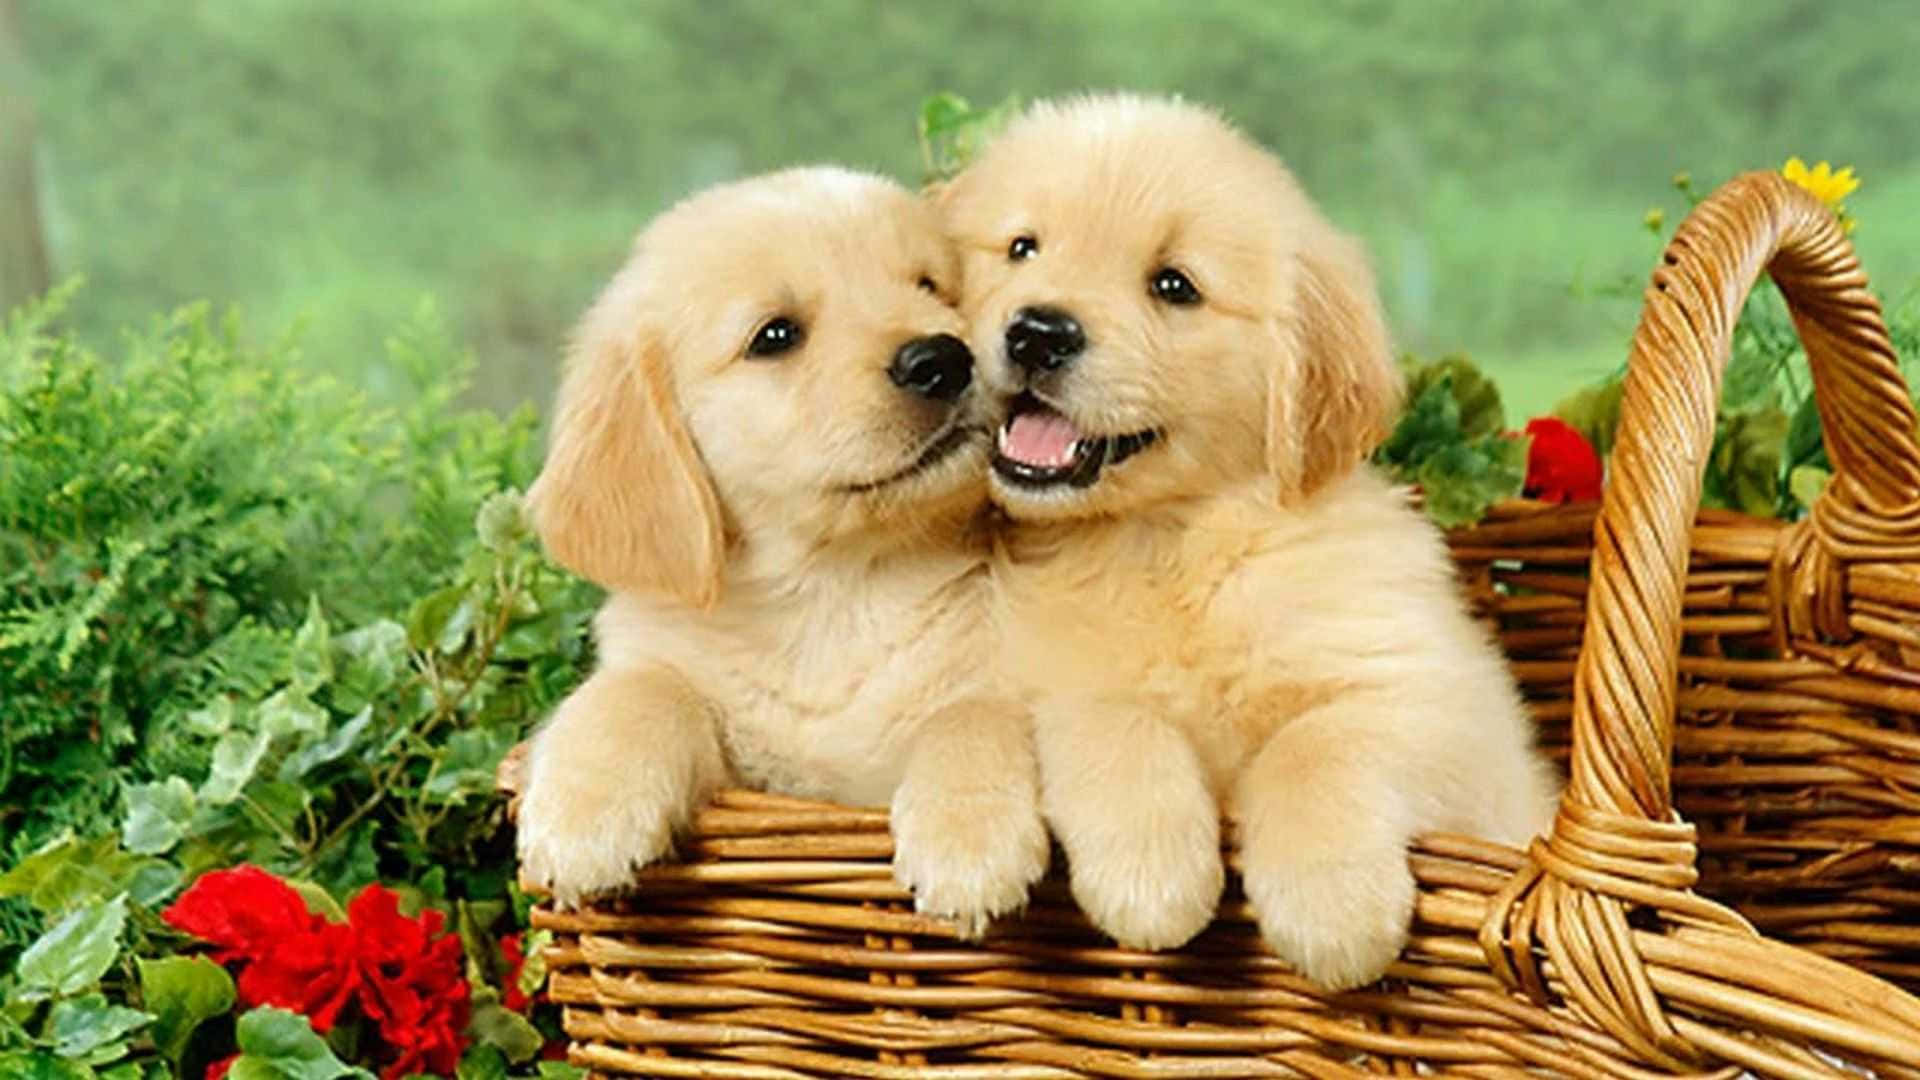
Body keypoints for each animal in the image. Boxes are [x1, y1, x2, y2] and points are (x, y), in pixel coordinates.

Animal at [514, 164, 1052, 930]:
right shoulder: (690, 698)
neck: (831, 589)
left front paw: (970, 847)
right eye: (775, 335)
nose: (943, 358)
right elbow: (635, 692)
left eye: (931, 287)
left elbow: (971, 713)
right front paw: (583, 816)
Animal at [940, 96, 1559, 991]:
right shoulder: (1037, 675)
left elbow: (1312, 745)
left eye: (1174, 286)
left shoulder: (1436, 702)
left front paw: (1332, 910)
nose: (1037, 332)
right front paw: (1151, 880)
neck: (1167, 544)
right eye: (1023, 246)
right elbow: (1110, 716)